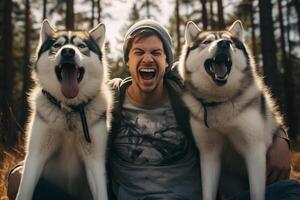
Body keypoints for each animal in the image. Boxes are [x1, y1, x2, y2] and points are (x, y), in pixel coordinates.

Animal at [15, 19, 111, 200]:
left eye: (81, 46)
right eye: (57, 45)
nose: (67, 51)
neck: (69, 112)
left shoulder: (95, 159)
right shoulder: (35, 155)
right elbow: (24, 192)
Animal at [179, 20, 284, 200]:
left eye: (230, 42)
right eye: (207, 41)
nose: (223, 44)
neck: (220, 102)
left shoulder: (255, 150)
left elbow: (256, 193)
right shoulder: (209, 153)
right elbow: (208, 192)